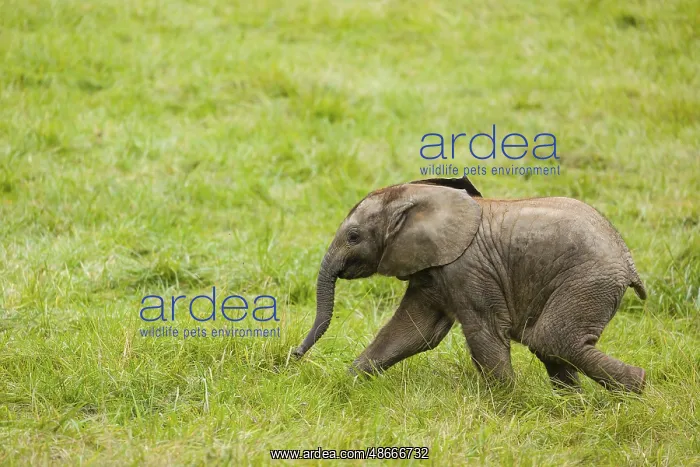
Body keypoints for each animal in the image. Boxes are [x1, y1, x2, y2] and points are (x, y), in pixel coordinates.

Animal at [293, 177, 648, 393]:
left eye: (353, 237)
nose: (294, 354)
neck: (420, 196)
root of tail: (628, 261)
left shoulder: (469, 269)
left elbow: (484, 333)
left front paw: (508, 405)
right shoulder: (435, 269)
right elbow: (413, 331)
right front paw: (346, 385)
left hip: (587, 281)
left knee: (550, 339)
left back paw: (637, 389)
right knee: (552, 345)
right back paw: (575, 407)